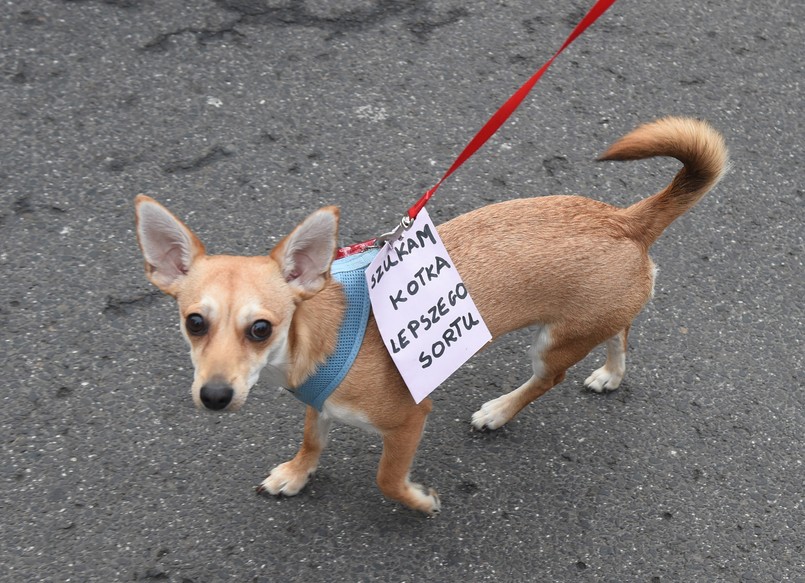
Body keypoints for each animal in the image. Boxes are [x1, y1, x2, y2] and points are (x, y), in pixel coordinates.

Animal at [133, 117, 728, 516]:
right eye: (194, 323)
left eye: (261, 329)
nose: (214, 397)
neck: (311, 340)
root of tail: (626, 220)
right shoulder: (319, 404)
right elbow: (312, 439)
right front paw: (297, 473)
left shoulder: (408, 422)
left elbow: (386, 479)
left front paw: (419, 502)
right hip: (594, 319)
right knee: (621, 333)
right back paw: (610, 374)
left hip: (553, 344)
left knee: (547, 378)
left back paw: (500, 411)